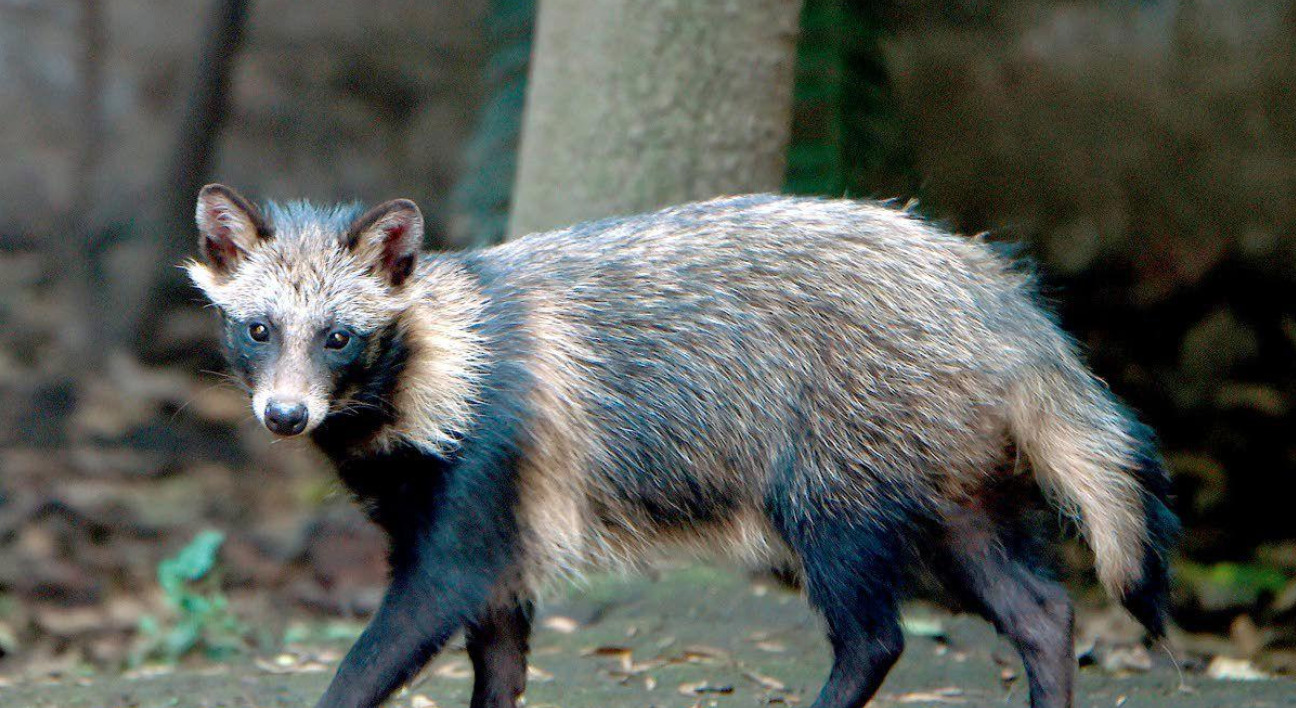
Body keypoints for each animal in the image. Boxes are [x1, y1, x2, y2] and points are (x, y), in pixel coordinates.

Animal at [187, 184, 1178, 708]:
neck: (446, 355)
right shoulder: (494, 543)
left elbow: (364, 667)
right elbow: (499, 668)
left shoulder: (468, 522)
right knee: (1042, 612)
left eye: (340, 338)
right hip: (954, 496)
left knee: (876, 637)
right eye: (260, 329)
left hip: (831, 489)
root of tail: (991, 286)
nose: (285, 417)